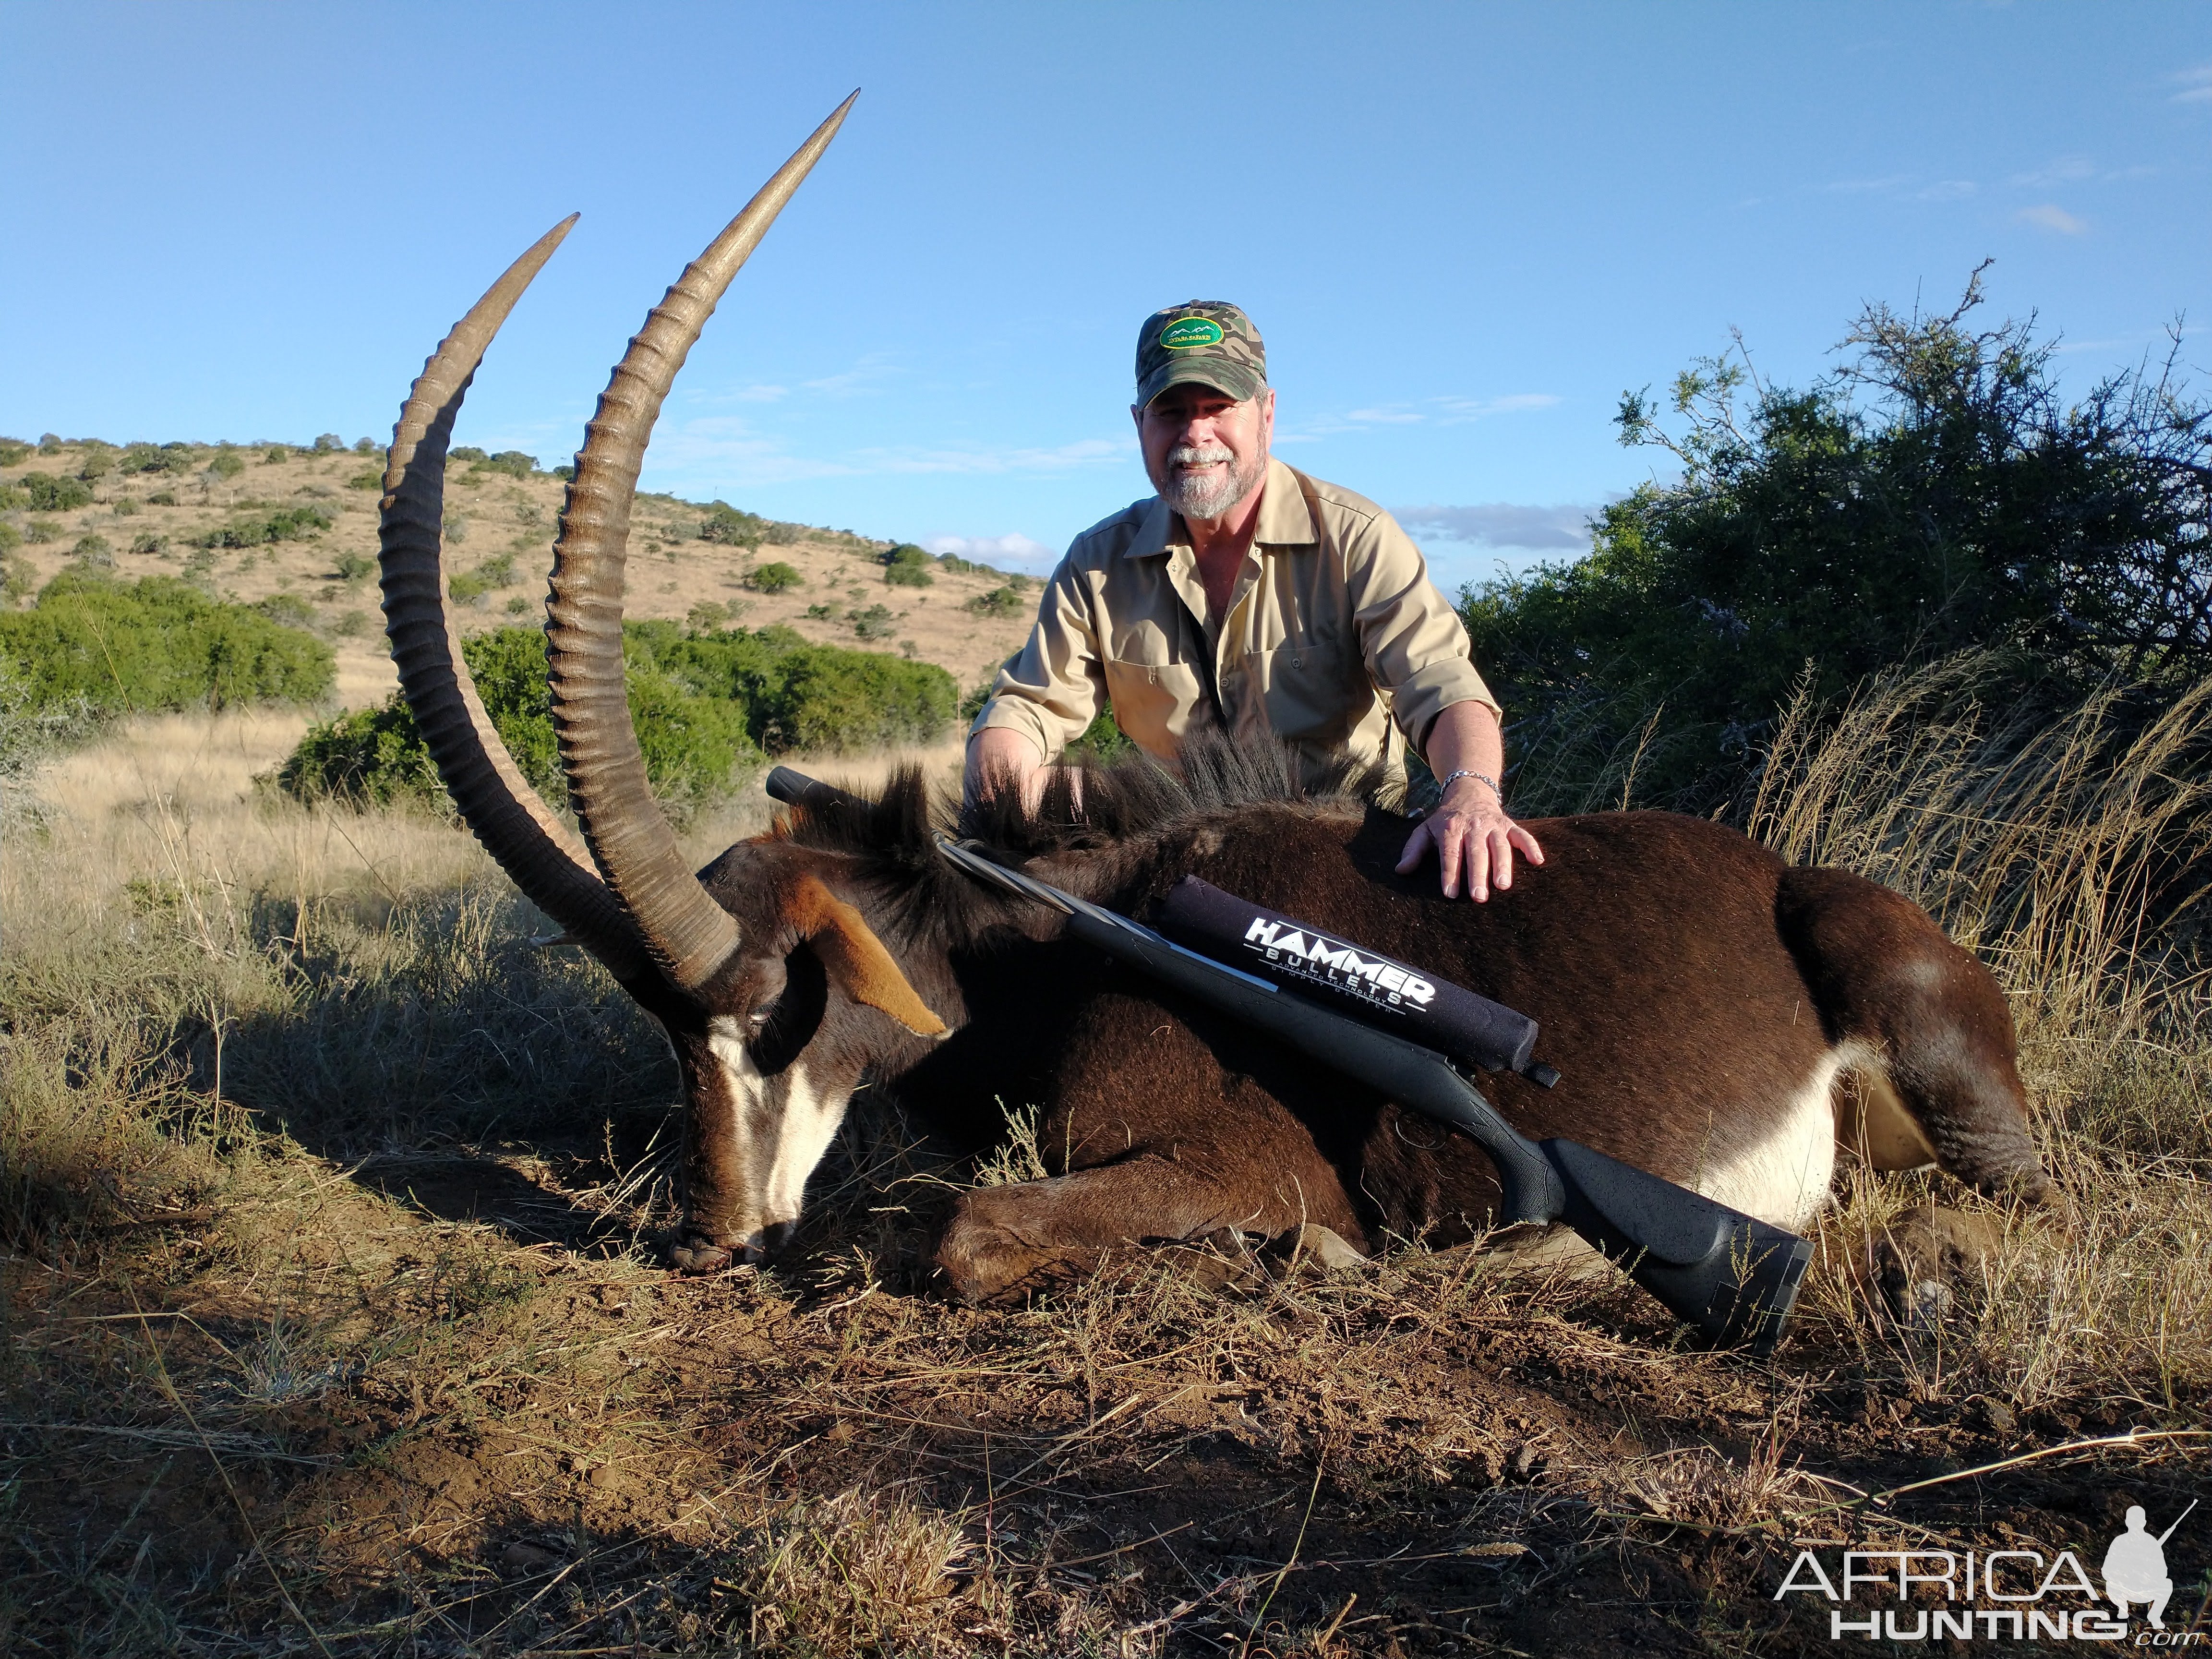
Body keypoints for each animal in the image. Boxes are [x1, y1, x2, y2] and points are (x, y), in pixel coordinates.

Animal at [372, 100, 2044, 1327]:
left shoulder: (1250, 1161)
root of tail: (1788, 876)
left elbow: (970, 1234)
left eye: (778, 1003)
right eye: (667, 1035)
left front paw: (1321, 1259)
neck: (1064, 937)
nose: (714, 1241)